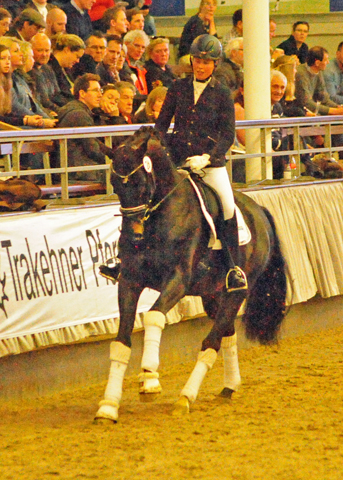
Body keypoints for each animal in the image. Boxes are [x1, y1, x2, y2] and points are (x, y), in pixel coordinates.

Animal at [94, 125, 288, 422]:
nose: (134, 236)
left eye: (139, 183)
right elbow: (120, 343)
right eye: (115, 186)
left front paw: (149, 378)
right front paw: (108, 406)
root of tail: (259, 211)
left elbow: (153, 316)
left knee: (211, 342)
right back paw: (229, 387)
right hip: (213, 295)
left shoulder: (177, 280)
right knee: (227, 335)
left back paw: (186, 397)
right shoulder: (129, 281)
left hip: (237, 291)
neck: (160, 215)